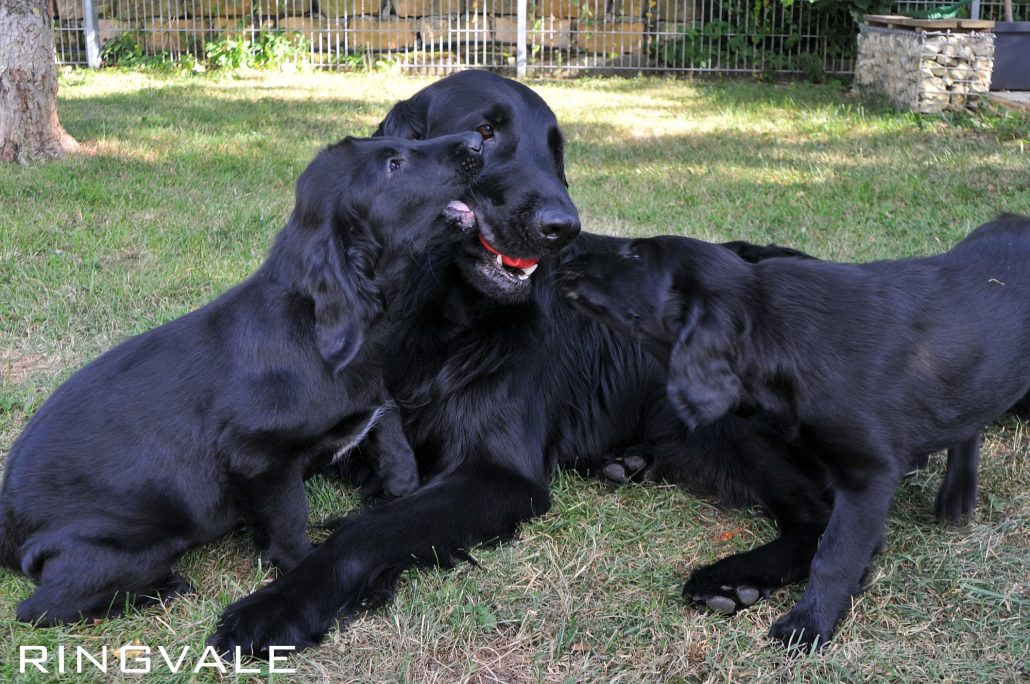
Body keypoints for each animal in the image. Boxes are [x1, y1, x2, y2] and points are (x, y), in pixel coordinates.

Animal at [0, 132, 484, 625]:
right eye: (394, 165)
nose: (476, 140)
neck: (313, 324)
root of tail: (8, 534)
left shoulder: (374, 396)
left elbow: (395, 444)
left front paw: (401, 496)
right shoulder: (261, 459)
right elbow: (290, 527)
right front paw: (304, 580)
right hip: (130, 548)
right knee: (41, 607)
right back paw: (165, 587)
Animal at [207, 70, 819, 657]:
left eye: (556, 151)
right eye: (484, 133)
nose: (563, 228)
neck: (438, 323)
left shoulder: (499, 474)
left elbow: (370, 530)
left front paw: (279, 605)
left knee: (819, 512)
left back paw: (736, 577)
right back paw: (631, 462)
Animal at [557, 214, 1030, 649]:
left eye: (635, 258)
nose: (565, 256)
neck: (776, 327)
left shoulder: (868, 473)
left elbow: (833, 553)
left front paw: (808, 625)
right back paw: (956, 498)